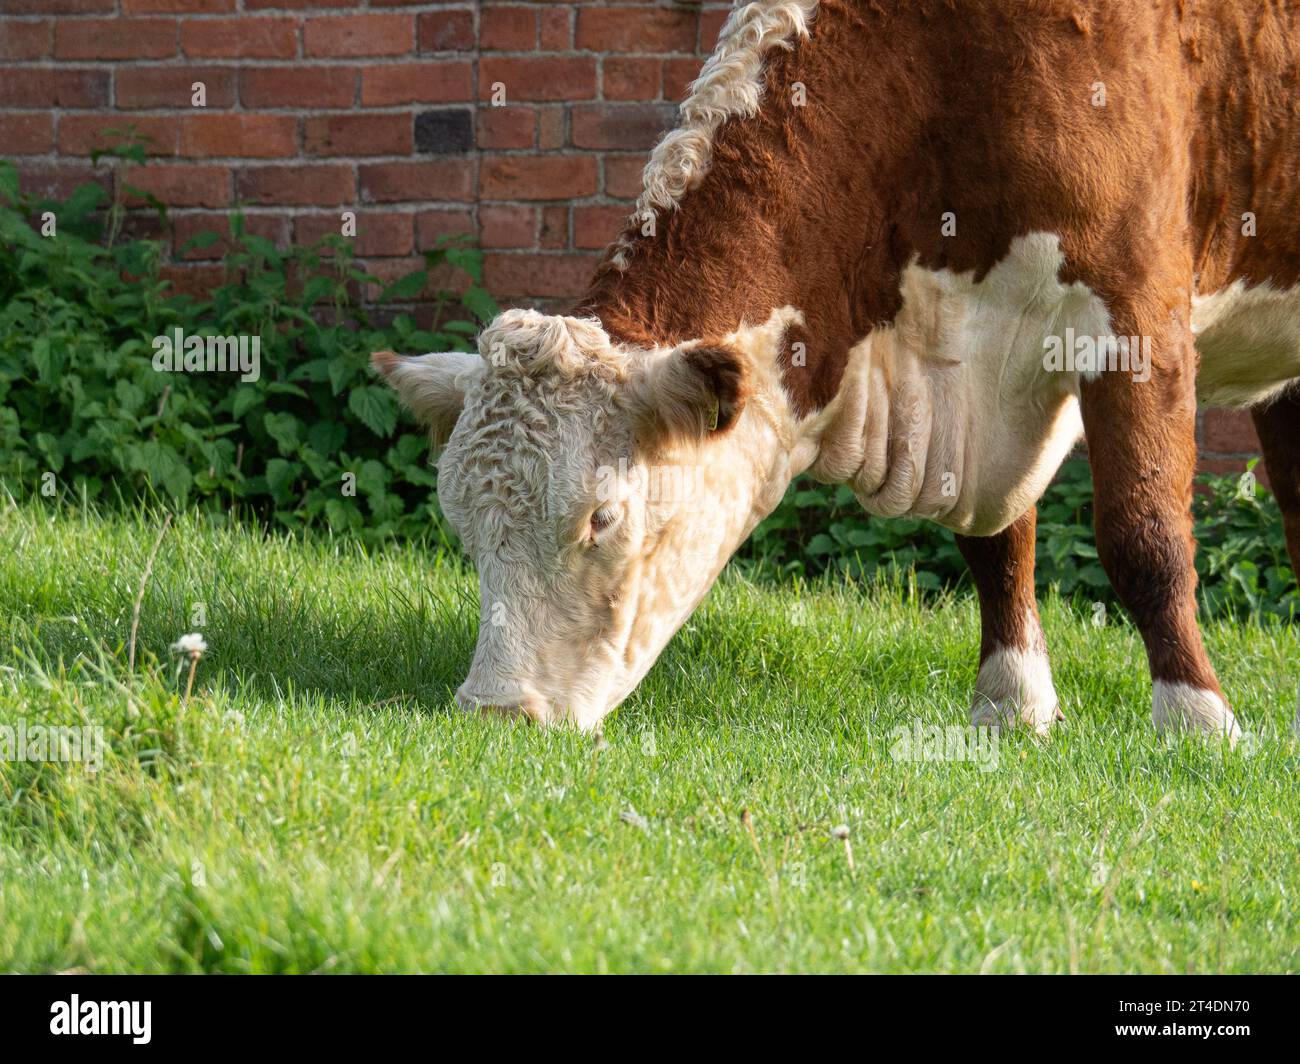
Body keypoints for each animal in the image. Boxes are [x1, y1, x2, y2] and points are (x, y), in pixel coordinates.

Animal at [372, 0, 1300, 741]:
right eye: (463, 526)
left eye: (602, 518)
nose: (496, 712)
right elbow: (996, 539)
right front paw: (1011, 704)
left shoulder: (1138, 311)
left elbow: (1145, 538)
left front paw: (1197, 720)